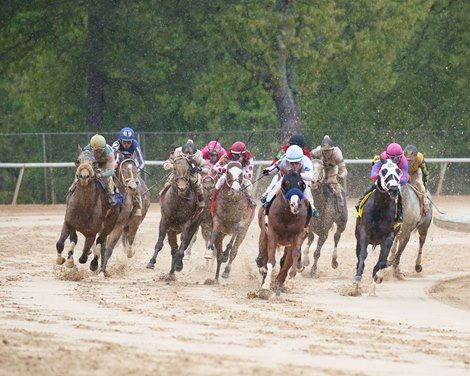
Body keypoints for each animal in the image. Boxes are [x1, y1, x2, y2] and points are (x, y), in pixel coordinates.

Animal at [354, 159, 402, 294]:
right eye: (383, 170)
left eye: (398, 171)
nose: (394, 189)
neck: (380, 207)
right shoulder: (364, 231)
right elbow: (363, 254)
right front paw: (357, 280)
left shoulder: (389, 236)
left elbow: (382, 261)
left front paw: (377, 277)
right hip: (358, 239)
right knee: (359, 255)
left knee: (382, 259)